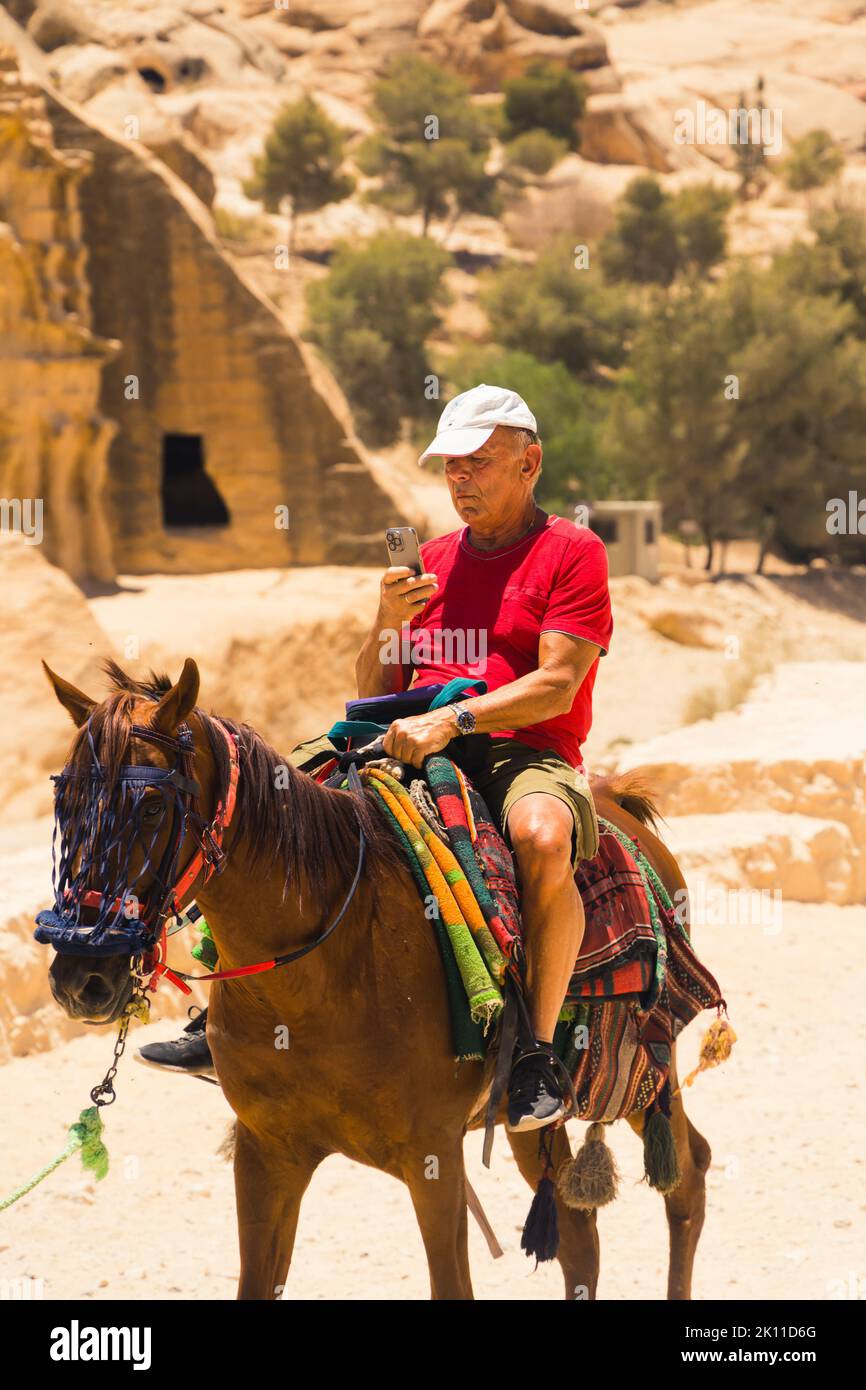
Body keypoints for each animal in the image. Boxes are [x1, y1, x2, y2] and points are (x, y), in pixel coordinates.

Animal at [42, 656, 711, 1295]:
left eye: (154, 807)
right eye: (65, 804)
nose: (80, 976)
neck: (319, 984)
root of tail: (619, 800)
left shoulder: (433, 1161)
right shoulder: (266, 1155)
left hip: (646, 1072)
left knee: (688, 1176)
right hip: (527, 1123)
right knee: (578, 1232)